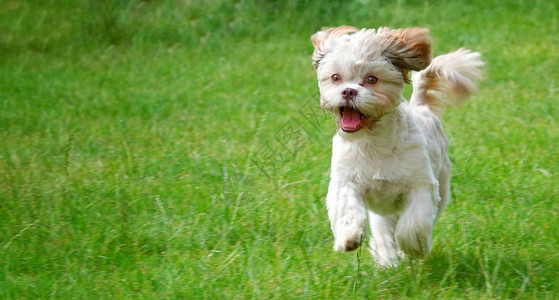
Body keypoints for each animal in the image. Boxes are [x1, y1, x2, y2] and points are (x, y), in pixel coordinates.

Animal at [312, 24, 484, 266]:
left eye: (372, 79)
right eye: (336, 77)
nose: (348, 91)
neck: (373, 142)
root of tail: (421, 107)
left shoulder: (421, 186)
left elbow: (413, 224)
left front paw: (414, 247)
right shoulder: (345, 181)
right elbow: (347, 209)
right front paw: (348, 238)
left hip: (440, 186)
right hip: (382, 211)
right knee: (384, 230)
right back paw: (387, 259)